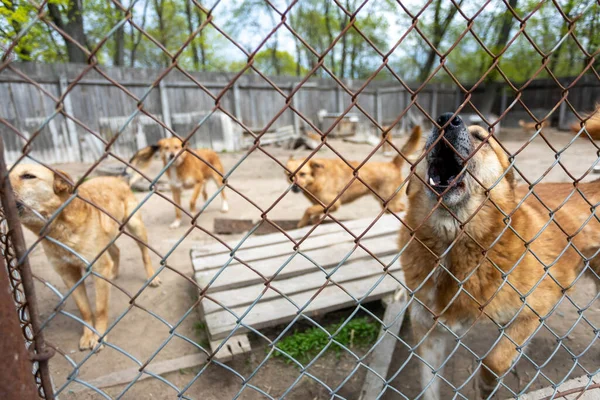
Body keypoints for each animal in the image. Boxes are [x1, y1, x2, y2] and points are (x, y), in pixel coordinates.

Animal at [10, 164, 161, 352]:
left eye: (28, 176)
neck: (59, 229)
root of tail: (117, 179)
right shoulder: (68, 274)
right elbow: (85, 309)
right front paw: (88, 335)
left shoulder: (98, 268)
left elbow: (100, 309)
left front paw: (99, 337)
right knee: (116, 252)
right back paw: (114, 273)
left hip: (136, 227)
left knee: (145, 254)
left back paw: (152, 277)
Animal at [288, 124, 422, 228]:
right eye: (289, 175)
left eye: (302, 174)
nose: (294, 188)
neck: (317, 177)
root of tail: (393, 164)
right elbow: (314, 214)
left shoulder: (333, 204)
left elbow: (308, 210)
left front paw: (301, 223)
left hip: (388, 202)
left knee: (401, 208)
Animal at [398, 113, 600, 400]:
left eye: (482, 138)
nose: (446, 119)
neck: (454, 244)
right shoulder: (428, 331)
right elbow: (429, 385)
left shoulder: (534, 311)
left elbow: (494, 360)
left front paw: (486, 385)